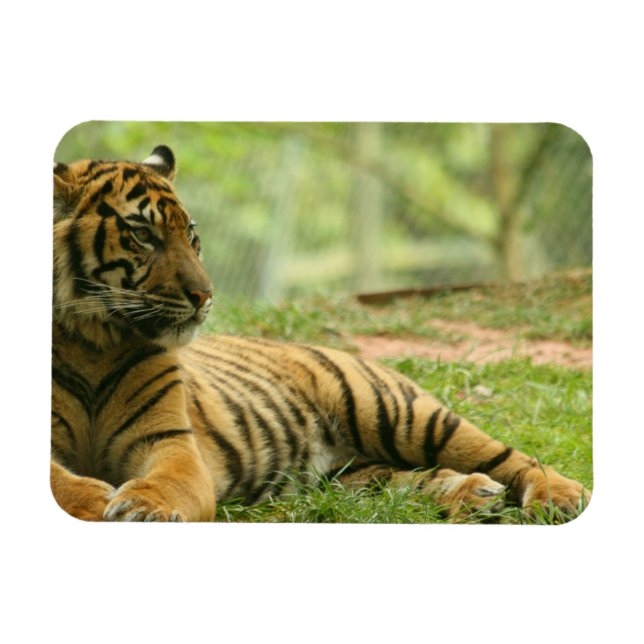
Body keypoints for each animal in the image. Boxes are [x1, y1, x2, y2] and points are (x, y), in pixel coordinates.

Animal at [52, 145, 591, 522]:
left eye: (192, 236)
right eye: (143, 235)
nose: (205, 295)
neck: (93, 341)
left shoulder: (171, 441)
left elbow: (167, 482)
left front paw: (142, 507)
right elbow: (57, 480)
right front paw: (96, 497)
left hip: (400, 413)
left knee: (512, 455)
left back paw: (561, 497)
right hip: (352, 476)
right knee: (407, 482)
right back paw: (475, 494)